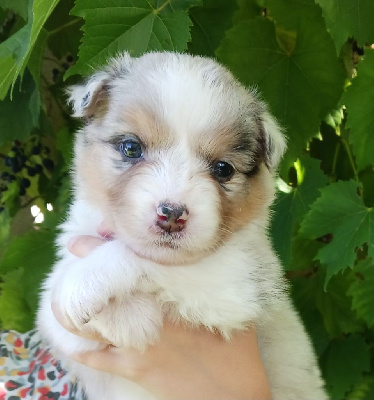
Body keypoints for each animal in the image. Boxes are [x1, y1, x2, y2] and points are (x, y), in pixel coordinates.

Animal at [36, 52, 326, 400]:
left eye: (223, 169)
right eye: (131, 148)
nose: (172, 214)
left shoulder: (235, 283)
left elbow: (144, 261)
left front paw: (91, 285)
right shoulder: (54, 317)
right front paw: (131, 316)